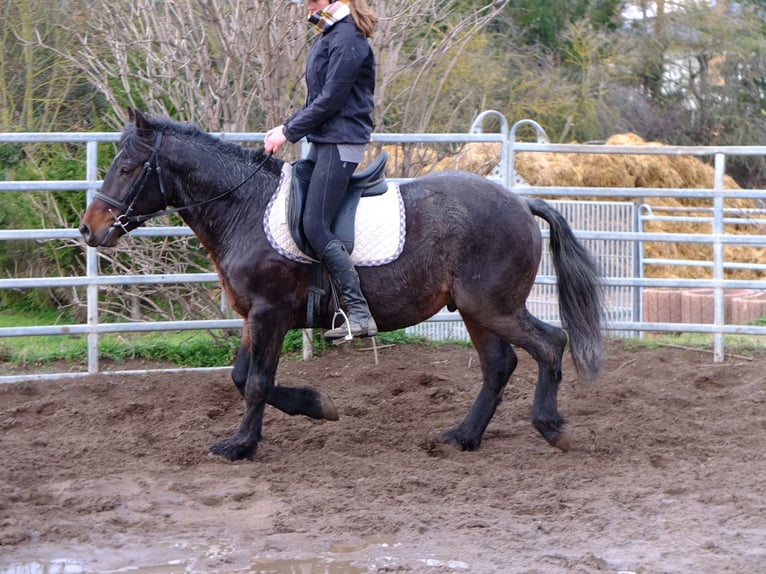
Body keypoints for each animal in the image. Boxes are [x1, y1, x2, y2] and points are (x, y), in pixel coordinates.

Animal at [79, 109, 608, 464]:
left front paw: (241, 445)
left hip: (493, 305)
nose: (88, 230)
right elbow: (241, 378)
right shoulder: (253, 315)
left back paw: (552, 427)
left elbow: (256, 382)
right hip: (476, 310)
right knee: (499, 365)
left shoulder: (270, 312)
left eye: (127, 168)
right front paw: (317, 406)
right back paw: (463, 435)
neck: (244, 207)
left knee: (550, 343)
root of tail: (520, 202)